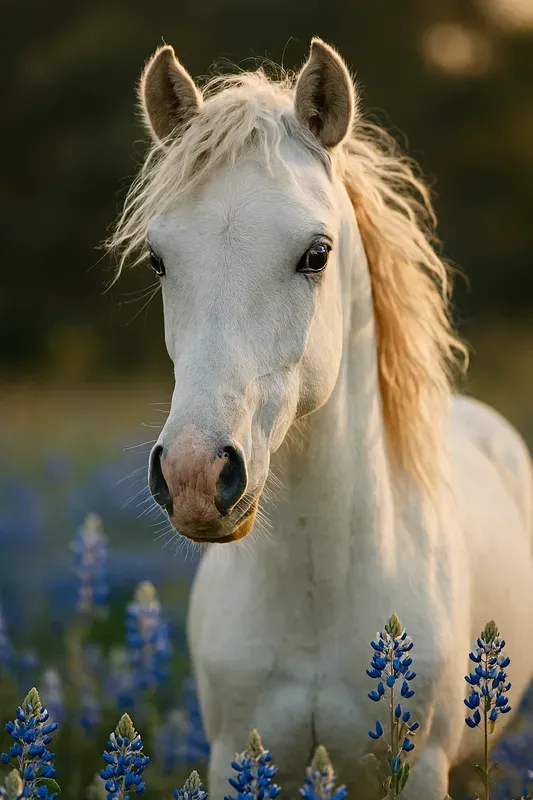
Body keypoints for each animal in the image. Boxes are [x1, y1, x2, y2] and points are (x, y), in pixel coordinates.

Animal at [109, 38, 533, 798]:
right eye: (158, 260)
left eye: (316, 254)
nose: (193, 475)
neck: (313, 588)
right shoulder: (238, 756)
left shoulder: (419, 765)